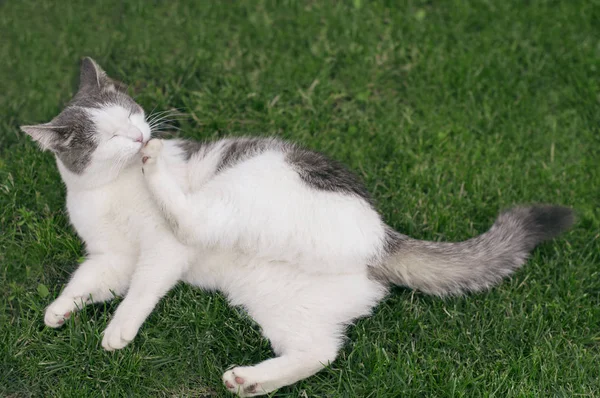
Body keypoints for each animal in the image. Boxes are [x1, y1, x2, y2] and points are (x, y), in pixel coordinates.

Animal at [19, 57, 576, 396]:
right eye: (111, 134)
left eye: (132, 114)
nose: (139, 136)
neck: (105, 190)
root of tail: (381, 240)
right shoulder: (112, 258)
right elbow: (89, 281)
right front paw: (58, 311)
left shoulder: (161, 249)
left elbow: (142, 289)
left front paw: (119, 330)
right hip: (280, 301)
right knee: (319, 353)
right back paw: (251, 381)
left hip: (243, 192)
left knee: (194, 218)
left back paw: (158, 166)